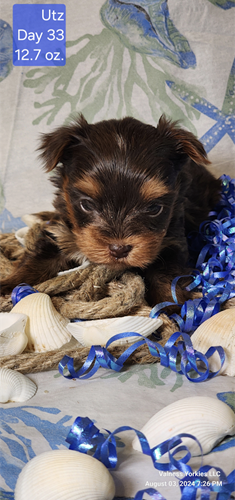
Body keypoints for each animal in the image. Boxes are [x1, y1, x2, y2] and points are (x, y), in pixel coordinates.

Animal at [0, 115, 221, 306]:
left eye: (154, 208)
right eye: (87, 205)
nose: (119, 249)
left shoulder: (172, 241)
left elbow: (165, 275)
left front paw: (170, 306)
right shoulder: (62, 232)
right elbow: (37, 262)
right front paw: (9, 286)